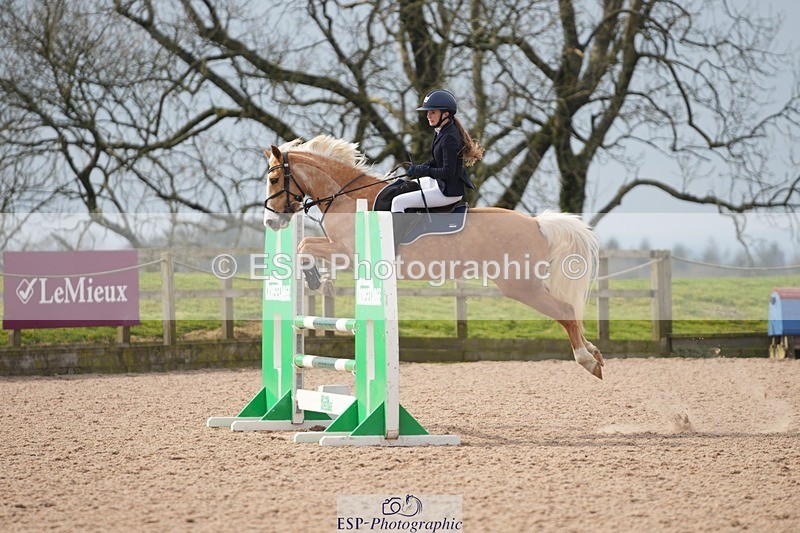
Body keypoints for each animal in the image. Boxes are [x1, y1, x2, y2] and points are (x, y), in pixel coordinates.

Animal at [262, 135, 604, 379]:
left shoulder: (345, 252)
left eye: (275, 180)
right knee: (569, 311)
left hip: (520, 286)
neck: (347, 196)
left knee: (565, 310)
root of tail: (536, 223)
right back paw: (595, 353)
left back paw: (587, 359)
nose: (271, 223)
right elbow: (306, 245)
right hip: (525, 284)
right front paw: (316, 279)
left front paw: (316, 279)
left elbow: (305, 247)